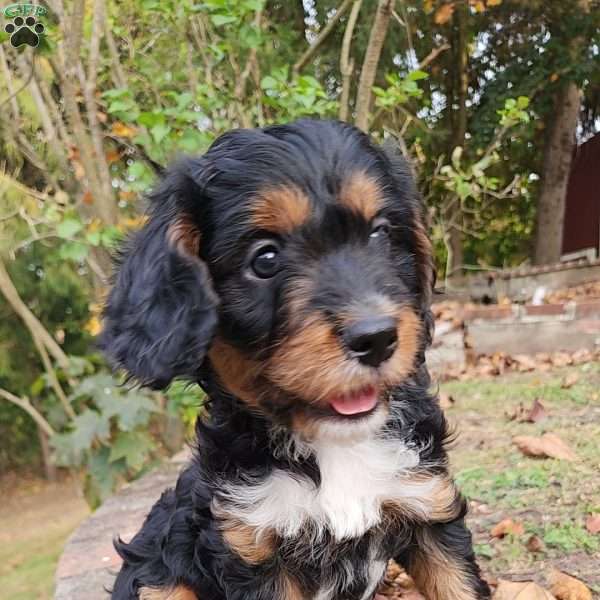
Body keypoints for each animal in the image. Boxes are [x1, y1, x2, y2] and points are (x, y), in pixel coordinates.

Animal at [101, 118, 490, 600]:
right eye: (264, 259)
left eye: (380, 233)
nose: (377, 338)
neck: (334, 447)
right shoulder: (253, 549)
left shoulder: (428, 505)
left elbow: (458, 584)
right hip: (157, 576)